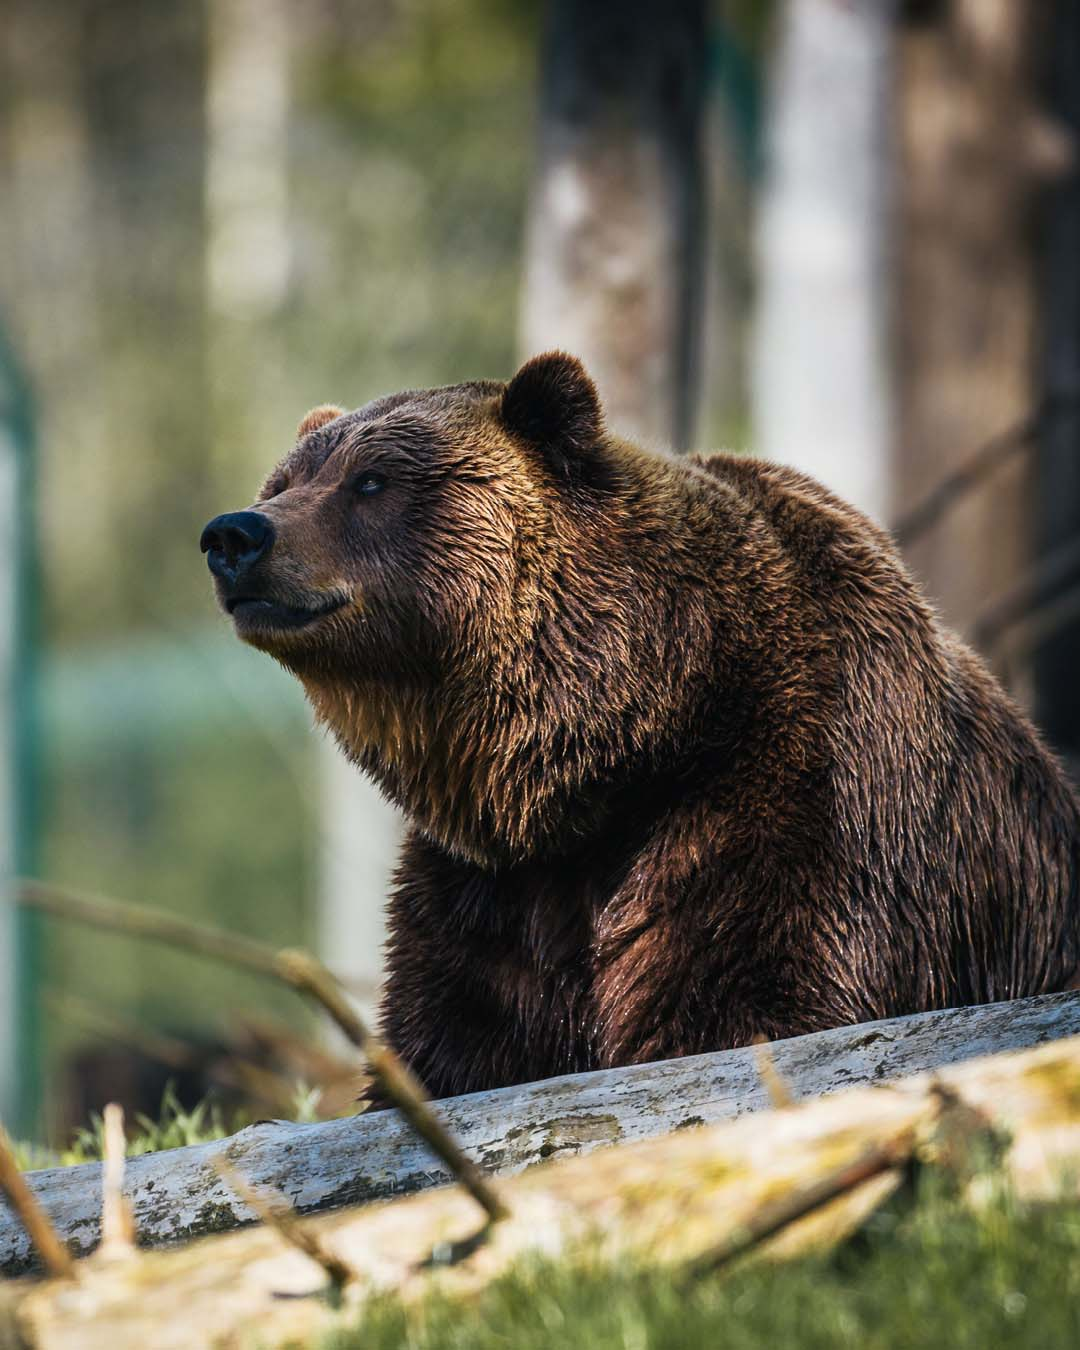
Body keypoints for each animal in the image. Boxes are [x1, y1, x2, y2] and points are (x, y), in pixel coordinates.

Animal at [201, 351, 1080, 1101]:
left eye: (371, 481)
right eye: (285, 478)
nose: (236, 533)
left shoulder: (797, 800)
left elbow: (748, 1001)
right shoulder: (492, 891)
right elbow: (452, 1040)